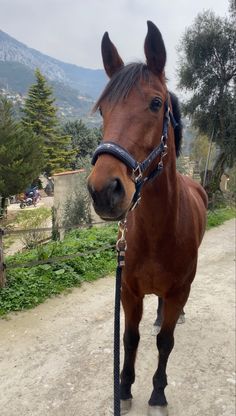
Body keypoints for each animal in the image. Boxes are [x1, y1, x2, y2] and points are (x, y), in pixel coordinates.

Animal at [87, 22, 206, 416]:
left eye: (156, 103)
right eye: (103, 109)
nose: (103, 190)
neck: (159, 231)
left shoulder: (180, 290)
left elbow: (165, 343)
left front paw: (157, 393)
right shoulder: (129, 292)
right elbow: (130, 338)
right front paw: (123, 387)